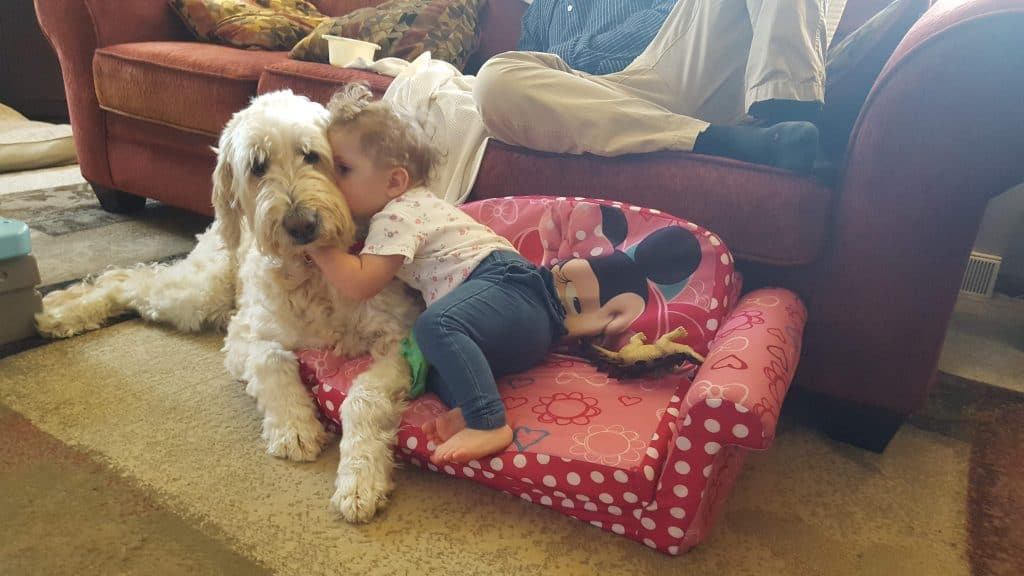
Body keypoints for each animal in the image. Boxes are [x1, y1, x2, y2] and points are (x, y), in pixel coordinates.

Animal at [36, 89, 419, 520]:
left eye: (311, 155)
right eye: (257, 166)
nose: (301, 225)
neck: (315, 272)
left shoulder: (396, 342)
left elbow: (363, 397)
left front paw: (360, 479)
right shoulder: (246, 333)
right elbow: (272, 362)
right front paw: (294, 427)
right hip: (200, 293)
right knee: (127, 280)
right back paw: (59, 313)